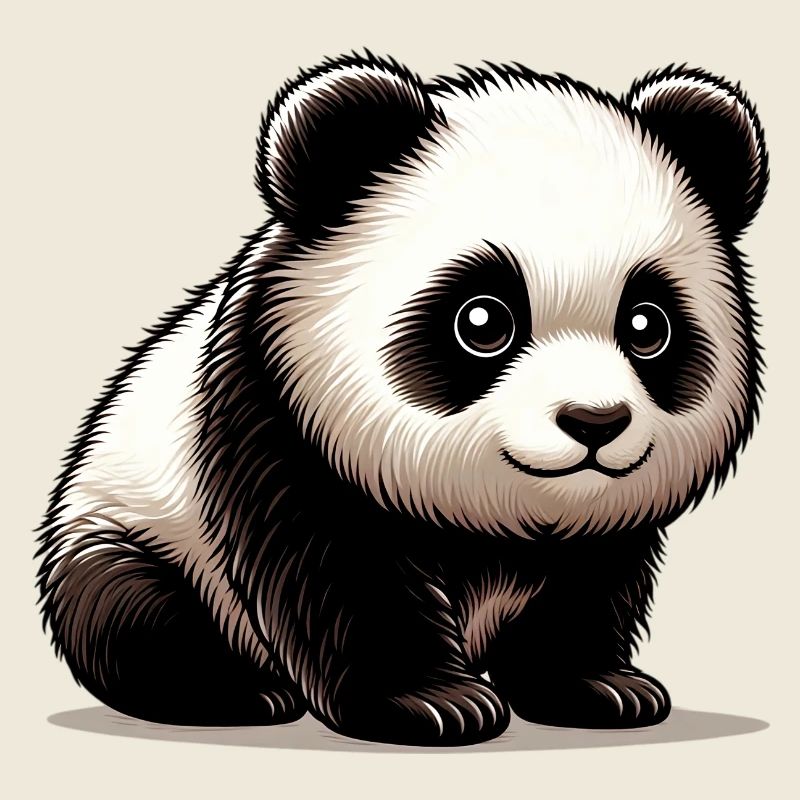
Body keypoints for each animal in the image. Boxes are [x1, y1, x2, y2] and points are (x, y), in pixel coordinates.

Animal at [37, 52, 768, 746]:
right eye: (483, 320)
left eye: (647, 325)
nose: (595, 422)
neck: (501, 517)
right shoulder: (278, 420)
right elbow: (339, 574)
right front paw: (433, 702)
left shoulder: (601, 527)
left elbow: (589, 584)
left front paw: (599, 687)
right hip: (134, 527)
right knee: (131, 609)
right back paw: (234, 692)